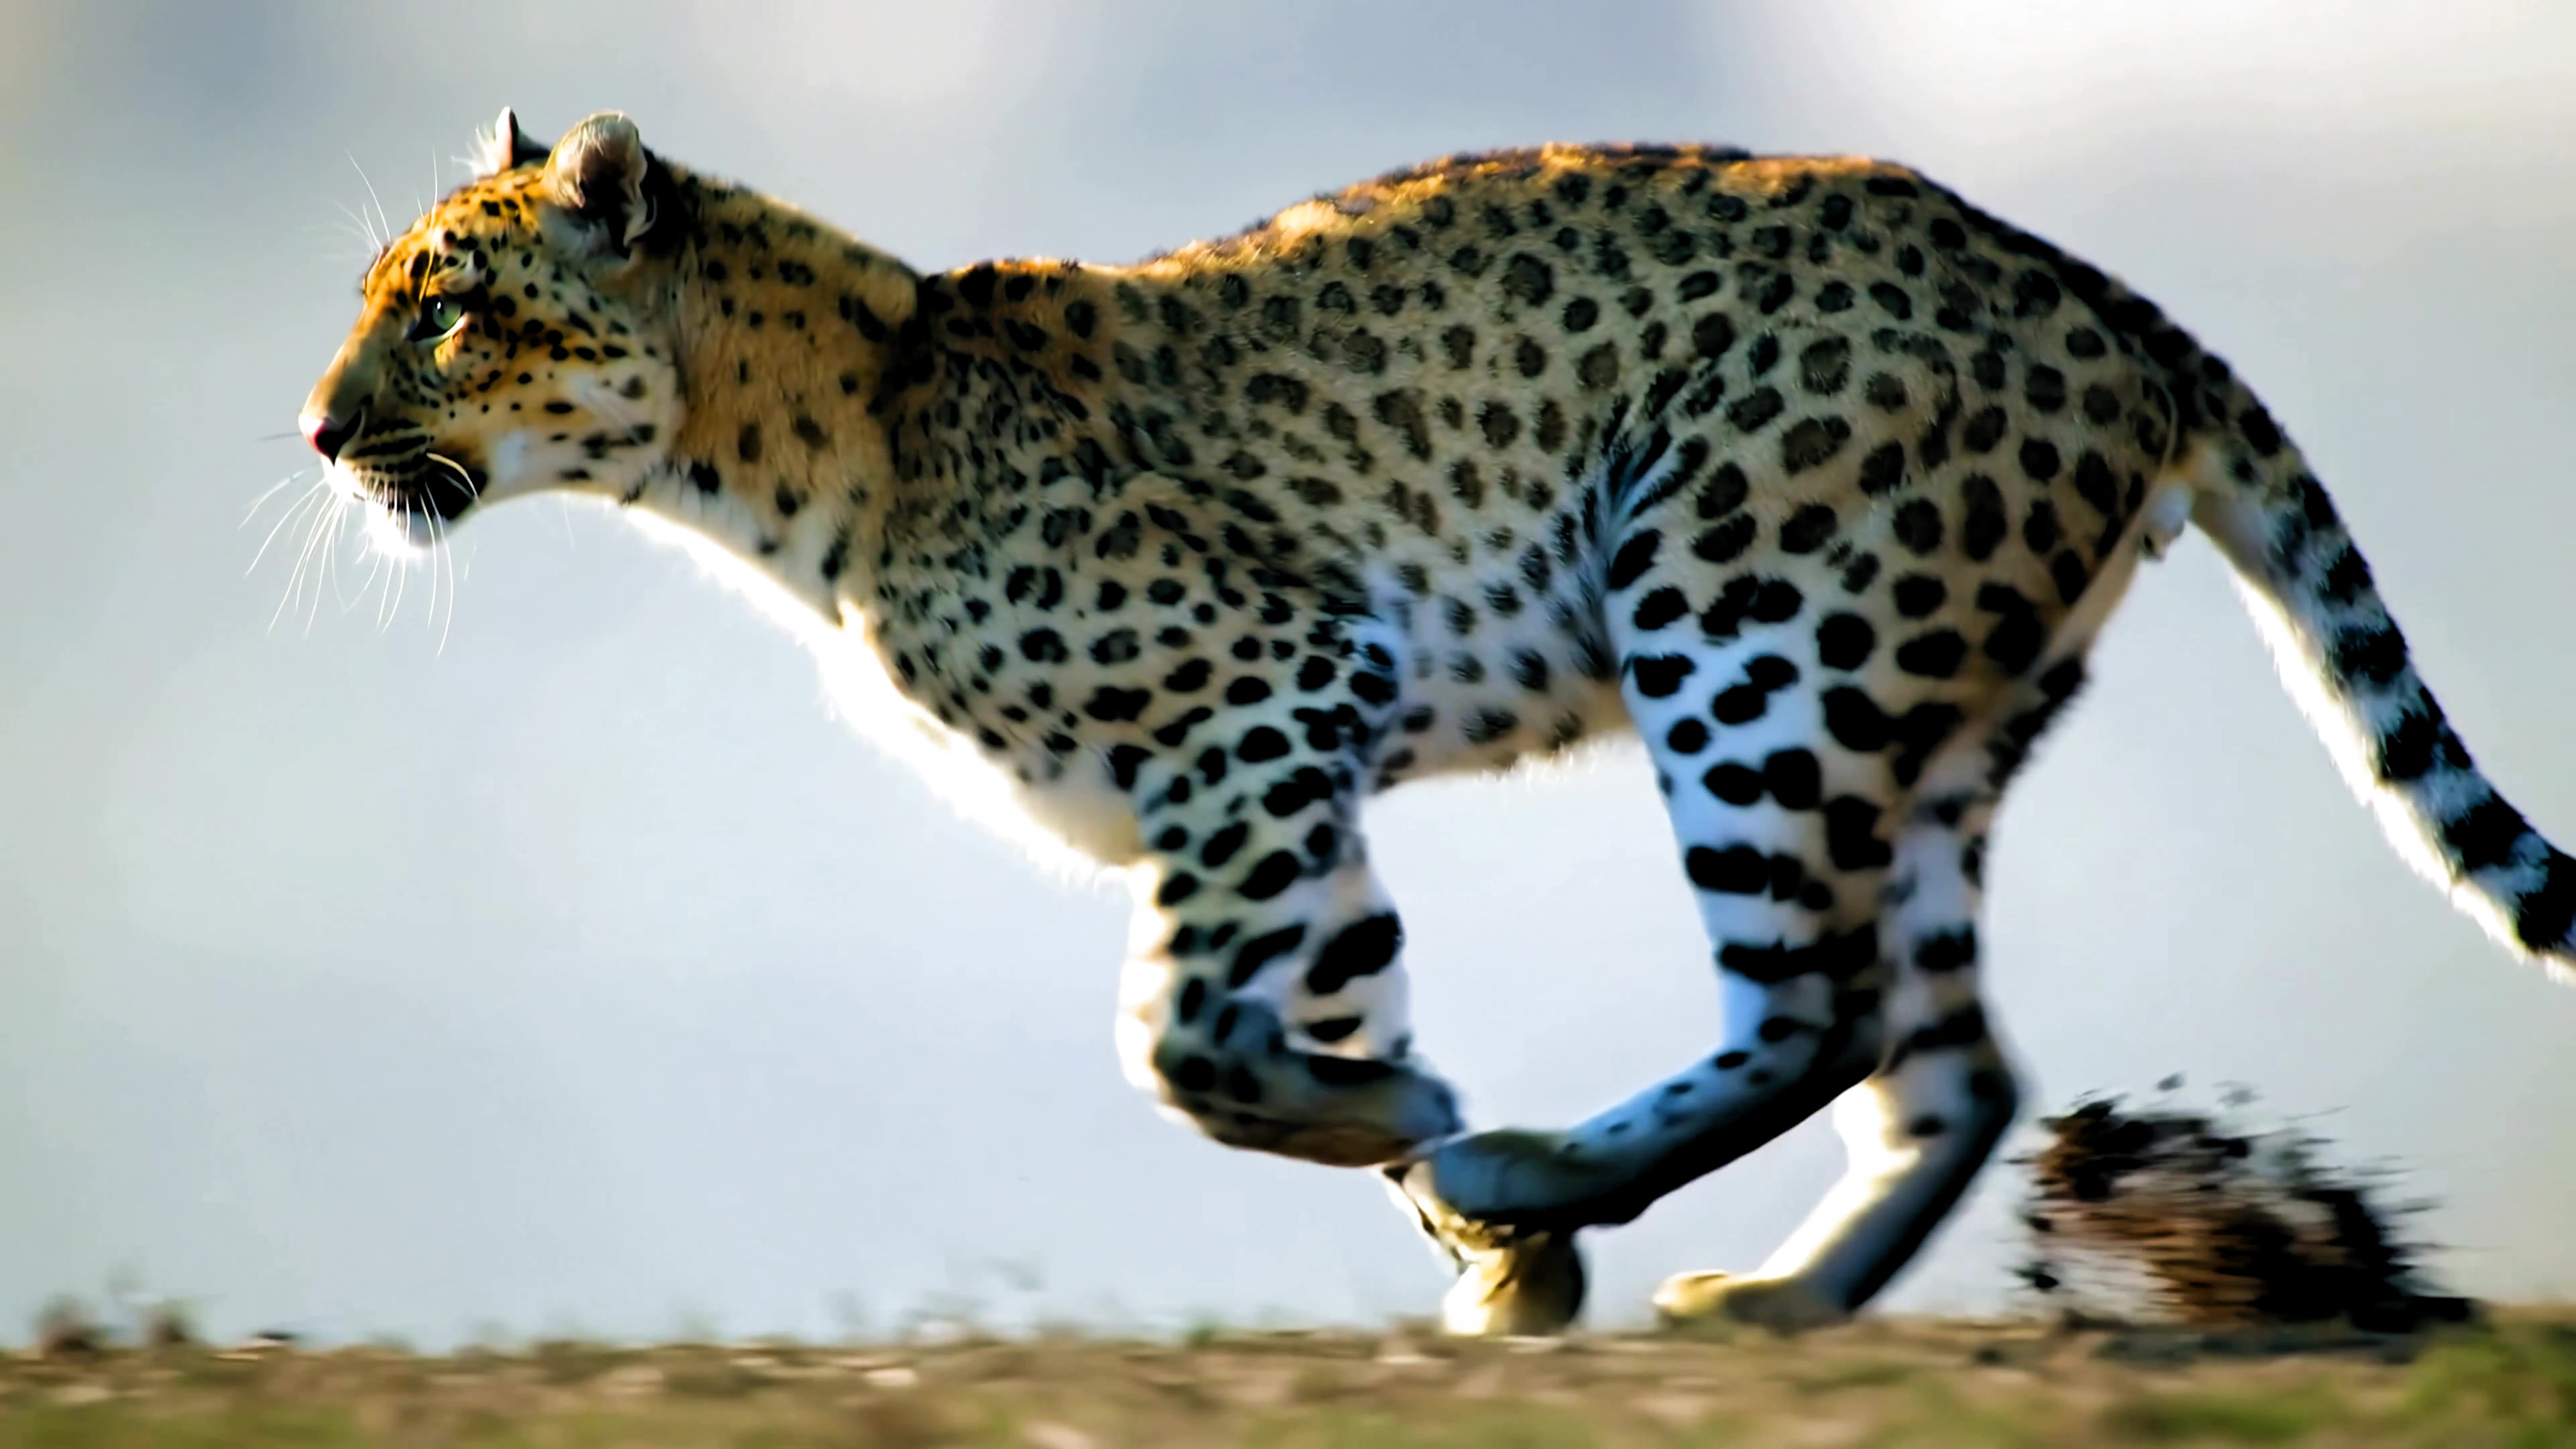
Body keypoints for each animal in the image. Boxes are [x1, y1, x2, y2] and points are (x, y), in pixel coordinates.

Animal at [297, 109, 2576, 1336]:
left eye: (447, 306)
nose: (316, 432)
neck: (788, 465)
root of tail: (2101, 294)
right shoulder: (1283, 795)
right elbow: (1322, 1000)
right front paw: (1484, 1245)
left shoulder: (1272, 698)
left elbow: (1174, 1040)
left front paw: (1452, 1156)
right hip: (1914, 724)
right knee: (1948, 1056)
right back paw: (1764, 1293)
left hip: (1750, 622)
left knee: (1817, 1003)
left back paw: (1556, 1158)